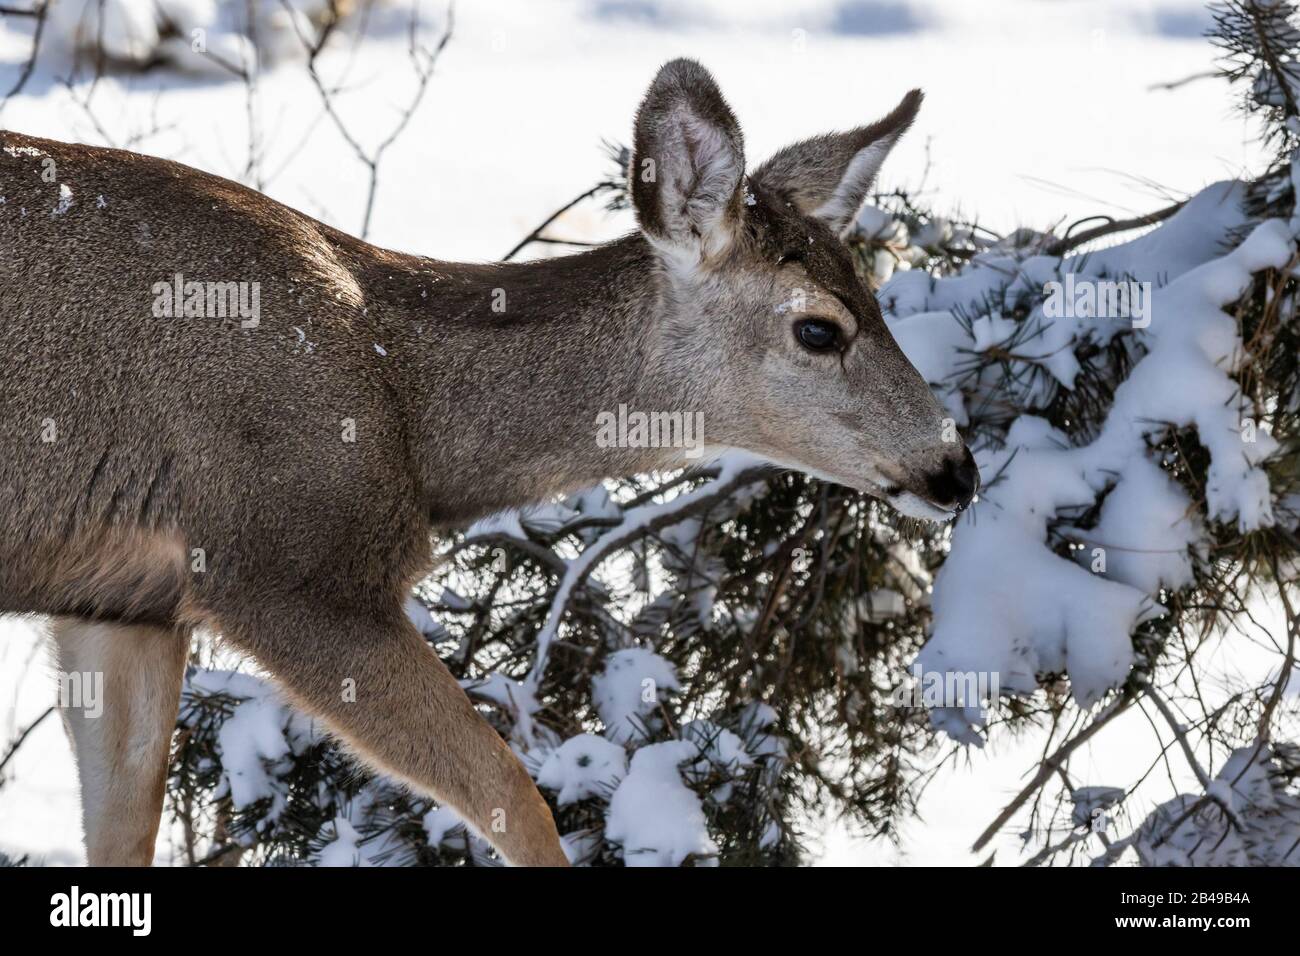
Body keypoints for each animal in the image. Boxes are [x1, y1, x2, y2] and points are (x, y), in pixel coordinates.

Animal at [0, 57, 977, 868]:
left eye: (875, 296)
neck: (408, 414)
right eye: (820, 329)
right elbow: (519, 799)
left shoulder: (122, 602)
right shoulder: (288, 566)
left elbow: (124, 829)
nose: (955, 468)